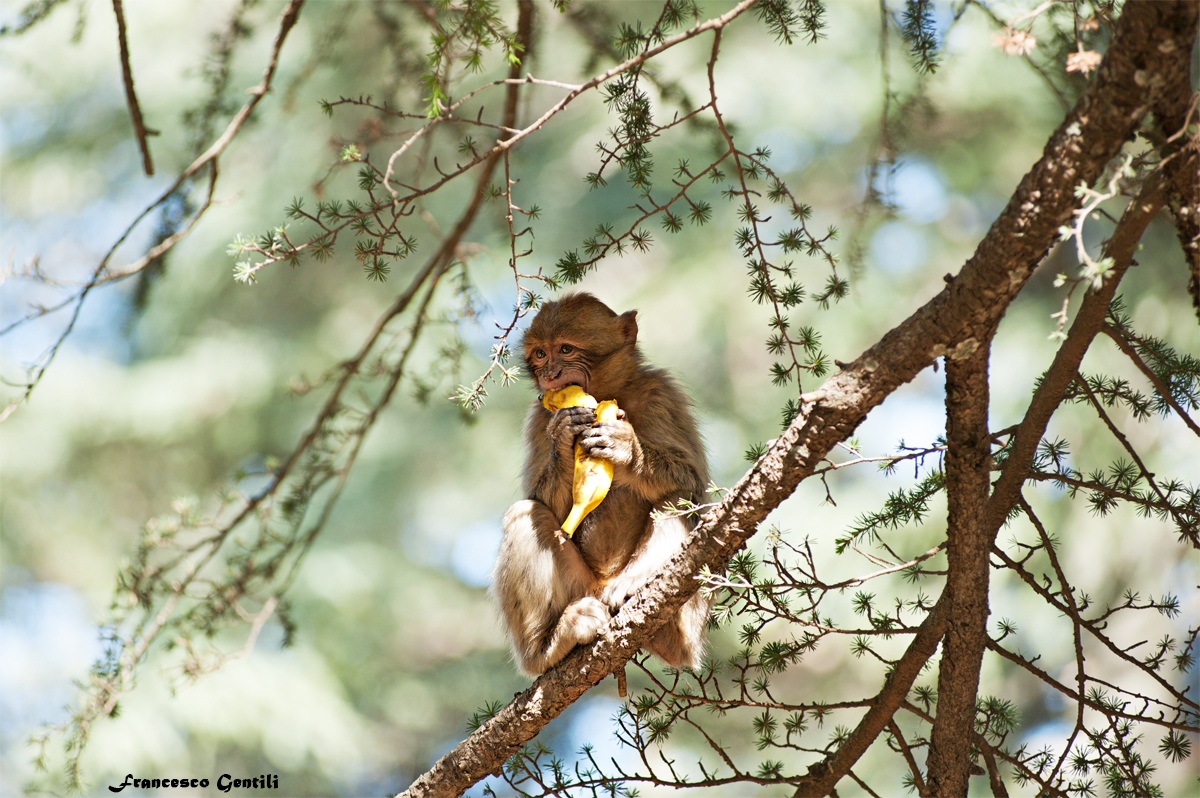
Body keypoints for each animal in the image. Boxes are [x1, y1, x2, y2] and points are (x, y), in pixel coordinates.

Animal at [492, 292, 710, 677]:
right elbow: (542, 500)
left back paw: (635, 587)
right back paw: (546, 647)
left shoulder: (662, 393)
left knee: (681, 498)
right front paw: (563, 435)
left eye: (565, 349)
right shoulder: (538, 416)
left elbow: (694, 481)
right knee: (525, 513)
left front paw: (626, 448)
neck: (610, 391)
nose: (550, 374)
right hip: (580, 589)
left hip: (687, 619)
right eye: (540, 353)